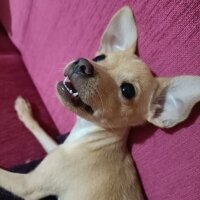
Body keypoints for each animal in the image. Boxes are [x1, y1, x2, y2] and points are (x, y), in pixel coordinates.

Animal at [0, 6, 200, 200]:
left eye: (127, 90)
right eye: (98, 58)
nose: (83, 65)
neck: (88, 132)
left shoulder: (28, 184)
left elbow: (3, 174)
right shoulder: (56, 150)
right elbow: (41, 132)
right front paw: (24, 112)